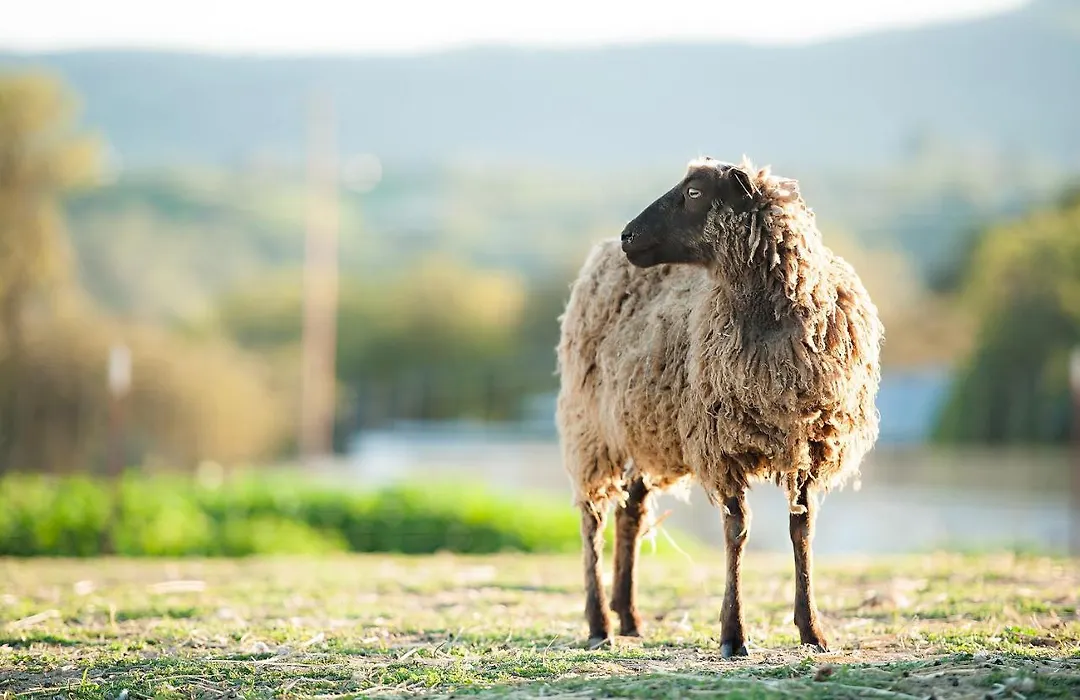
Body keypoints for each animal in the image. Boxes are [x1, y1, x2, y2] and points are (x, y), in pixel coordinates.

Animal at [554, 155, 884, 657]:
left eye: (694, 192)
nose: (629, 235)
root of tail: (599, 255)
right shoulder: (721, 442)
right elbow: (738, 532)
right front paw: (734, 634)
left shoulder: (810, 444)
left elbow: (802, 531)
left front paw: (813, 631)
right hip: (590, 429)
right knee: (592, 519)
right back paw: (599, 624)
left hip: (645, 429)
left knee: (630, 513)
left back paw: (628, 616)